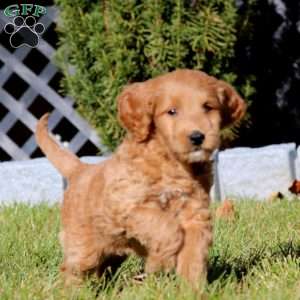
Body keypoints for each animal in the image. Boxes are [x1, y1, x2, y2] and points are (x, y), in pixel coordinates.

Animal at [35, 69, 246, 288]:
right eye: (172, 111)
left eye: (208, 107)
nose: (197, 137)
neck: (172, 163)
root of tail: (81, 169)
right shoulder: (128, 206)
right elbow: (166, 228)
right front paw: (160, 261)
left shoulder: (196, 215)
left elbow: (193, 257)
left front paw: (192, 289)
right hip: (83, 246)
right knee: (72, 270)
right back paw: (72, 291)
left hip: (112, 251)